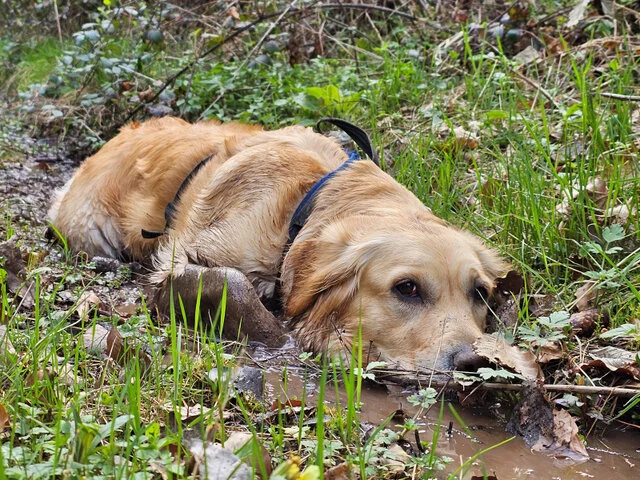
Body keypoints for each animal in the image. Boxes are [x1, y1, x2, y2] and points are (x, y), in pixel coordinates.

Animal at [48, 116, 508, 372]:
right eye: (407, 288)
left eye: (480, 293)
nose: (474, 362)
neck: (304, 205)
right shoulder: (180, 259)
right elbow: (235, 284)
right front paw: (280, 338)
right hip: (88, 230)